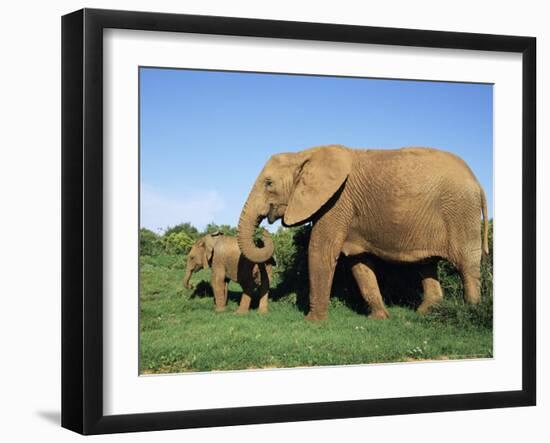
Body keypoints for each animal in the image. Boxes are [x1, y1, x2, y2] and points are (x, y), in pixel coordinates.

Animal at [239, 146, 490, 322]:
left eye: (268, 183)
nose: (263, 231)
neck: (304, 154)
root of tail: (477, 181)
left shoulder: (337, 202)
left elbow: (320, 250)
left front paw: (312, 322)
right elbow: (358, 263)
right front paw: (380, 318)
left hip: (460, 211)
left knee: (467, 264)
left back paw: (472, 312)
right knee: (427, 264)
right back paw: (425, 314)